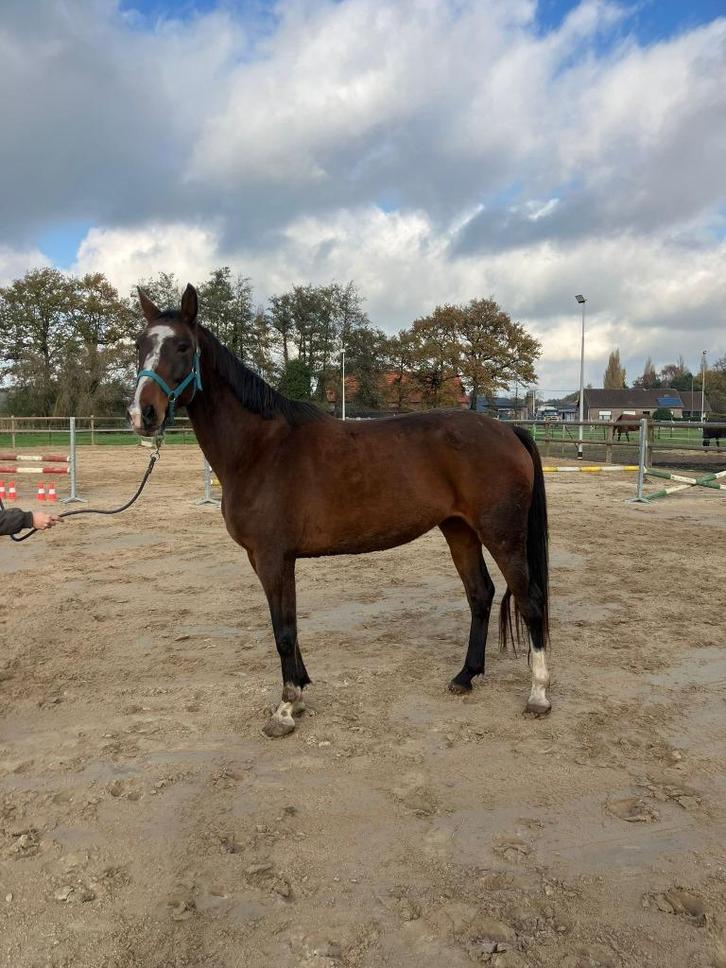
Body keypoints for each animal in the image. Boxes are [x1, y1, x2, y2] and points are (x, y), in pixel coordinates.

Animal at [128, 285, 551, 737]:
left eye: (183, 346)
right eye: (141, 345)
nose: (142, 414)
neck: (260, 449)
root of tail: (507, 428)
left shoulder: (272, 557)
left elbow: (282, 631)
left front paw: (284, 710)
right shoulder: (275, 559)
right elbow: (290, 627)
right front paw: (298, 694)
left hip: (501, 534)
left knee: (529, 599)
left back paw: (538, 694)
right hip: (459, 530)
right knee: (480, 594)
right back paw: (465, 676)